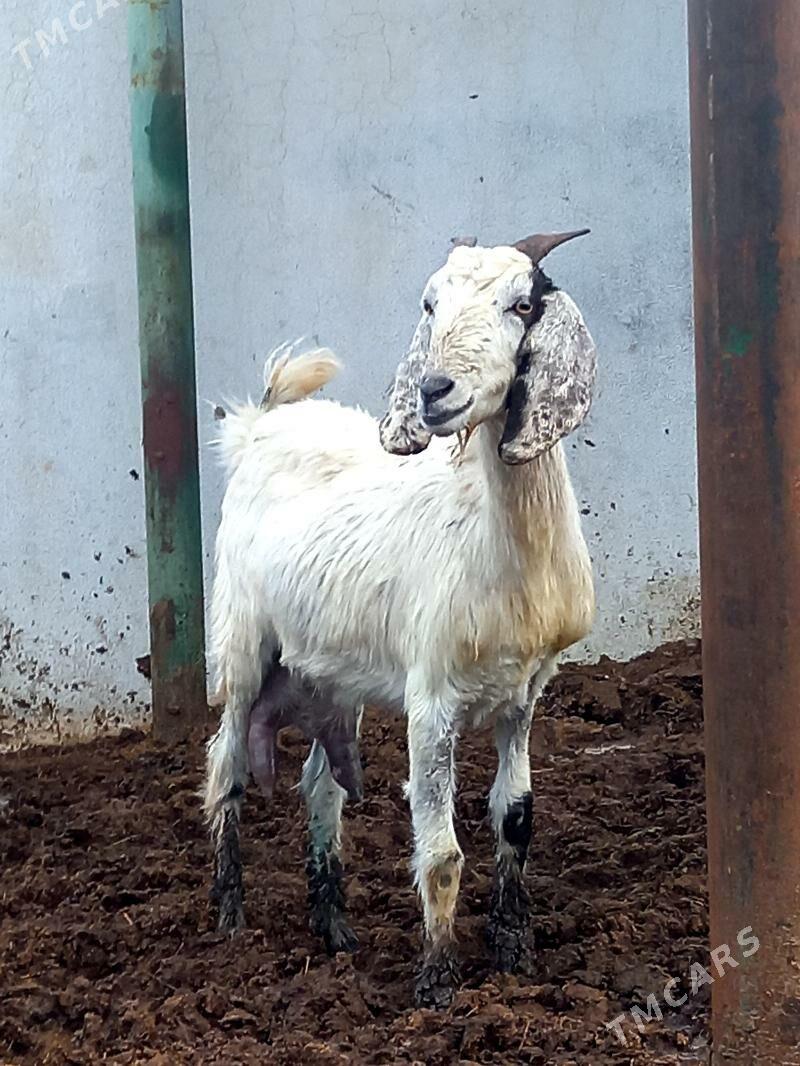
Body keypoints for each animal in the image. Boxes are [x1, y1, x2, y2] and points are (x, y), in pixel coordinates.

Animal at [204, 231, 597, 1008]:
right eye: (430, 303)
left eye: (523, 304)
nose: (434, 391)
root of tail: (262, 425)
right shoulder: (431, 695)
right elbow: (441, 850)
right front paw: (437, 981)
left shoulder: (527, 692)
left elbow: (517, 817)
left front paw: (515, 949)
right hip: (240, 640)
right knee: (225, 767)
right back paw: (230, 917)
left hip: (331, 674)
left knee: (320, 784)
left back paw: (334, 928)